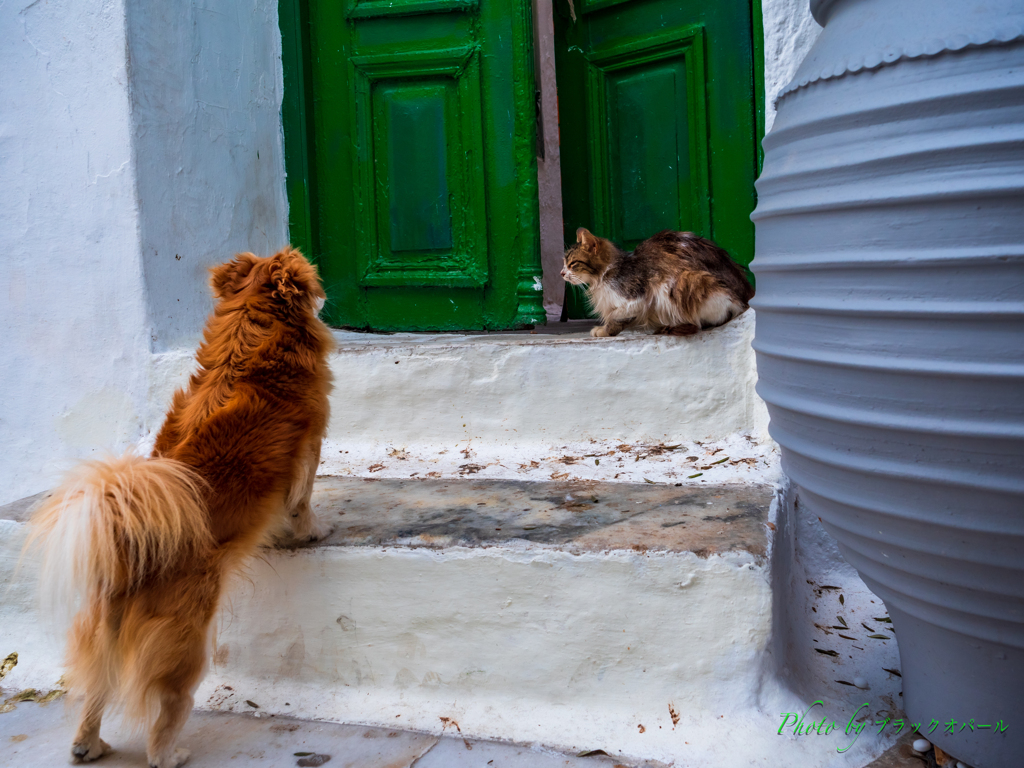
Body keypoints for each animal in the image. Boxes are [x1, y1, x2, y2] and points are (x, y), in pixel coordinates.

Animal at [27, 249, 331, 765]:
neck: (249, 331)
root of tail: (128, 553)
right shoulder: (309, 446)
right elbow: (301, 501)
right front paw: (311, 531)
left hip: (103, 636)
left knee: (96, 692)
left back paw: (88, 745)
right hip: (187, 642)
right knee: (168, 706)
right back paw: (168, 754)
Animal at [561, 228, 753, 335]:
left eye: (572, 264)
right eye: (564, 263)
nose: (561, 273)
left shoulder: (637, 298)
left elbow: (617, 318)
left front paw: (604, 331)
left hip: (689, 282)